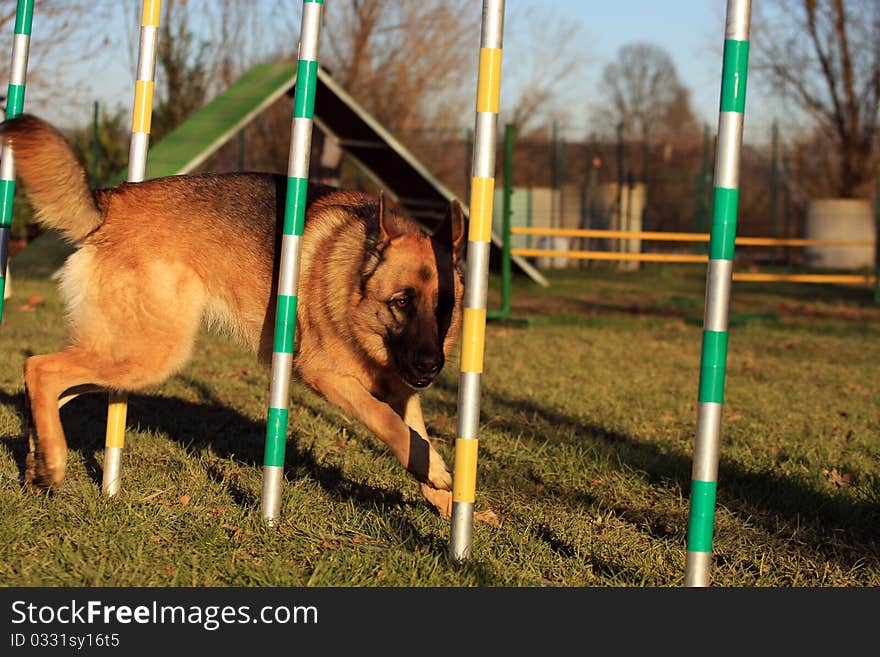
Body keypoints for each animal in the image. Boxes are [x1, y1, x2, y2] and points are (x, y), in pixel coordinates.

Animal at [0, 114, 464, 516]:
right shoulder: (326, 376)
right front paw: (436, 473)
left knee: (48, 386)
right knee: (39, 368)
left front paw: (447, 499)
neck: (352, 284)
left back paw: (38, 466)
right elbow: (387, 422)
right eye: (401, 302)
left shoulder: (404, 391)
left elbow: (415, 434)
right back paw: (53, 462)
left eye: (445, 307)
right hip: (148, 353)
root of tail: (111, 204)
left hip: (123, 355)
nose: (431, 365)